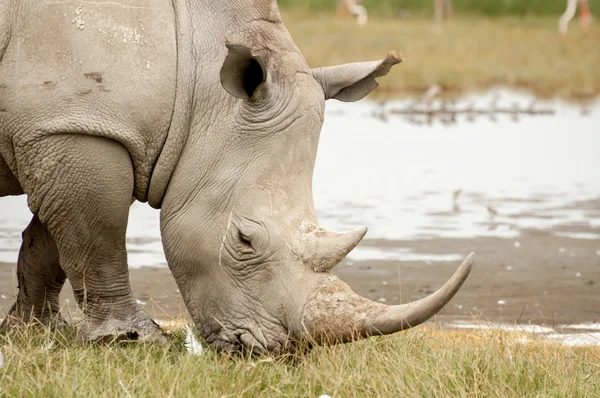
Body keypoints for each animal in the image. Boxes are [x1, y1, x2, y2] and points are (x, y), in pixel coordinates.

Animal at [0, 0, 474, 352]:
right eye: (245, 240)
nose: (272, 351)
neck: (197, 81)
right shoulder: (75, 125)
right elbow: (97, 238)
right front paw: (133, 340)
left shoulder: (65, 128)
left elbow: (51, 242)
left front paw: (32, 334)